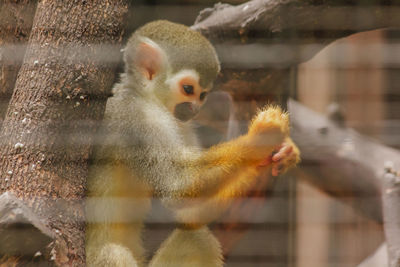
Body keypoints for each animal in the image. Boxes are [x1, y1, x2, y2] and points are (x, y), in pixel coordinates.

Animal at [86, 19, 300, 266]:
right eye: (188, 89)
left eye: (203, 95)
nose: (195, 109)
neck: (148, 99)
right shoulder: (136, 119)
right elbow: (179, 186)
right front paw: (260, 138)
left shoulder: (182, 125)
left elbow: (190, 215)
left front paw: (284, 152)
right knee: (112, 253)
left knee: (197, 236)